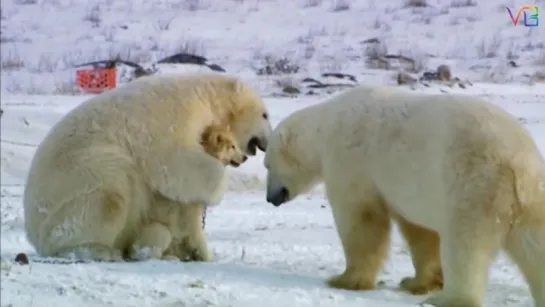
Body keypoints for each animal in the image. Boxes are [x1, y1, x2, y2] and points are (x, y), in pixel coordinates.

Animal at [127, 125, 246, 262]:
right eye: (232, 146)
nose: (245, 157)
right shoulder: (191, 218)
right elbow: (200, 240)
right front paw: (210, 259)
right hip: (162, 231)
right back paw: (170, 258)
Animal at [264, 85, 544, 307]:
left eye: (267, 164)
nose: (270, 197)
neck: (325, 127)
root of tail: (519, 164)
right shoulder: (406, 191)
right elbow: (418, 231)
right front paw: (416, 282)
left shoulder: (351, 162)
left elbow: (361, 220)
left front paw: (344, 279)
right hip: (528, 202)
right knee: (534, 246)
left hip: (475, 185)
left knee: (465, 246)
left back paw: (448, 299)